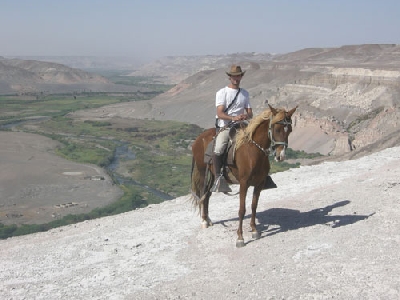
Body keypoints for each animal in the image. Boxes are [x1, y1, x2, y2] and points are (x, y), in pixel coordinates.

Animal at [191, 104, 296, 247]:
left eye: (289, 130)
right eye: (277, 129)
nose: (281, 156)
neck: (253, 151)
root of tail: (198, 139)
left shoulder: (259, 184)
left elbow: (253, 206)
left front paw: (254, 230)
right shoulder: (243, 184)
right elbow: (242, 209)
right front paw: (240, 238)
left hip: (212, 175)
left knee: (207, 195)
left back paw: (208, 219)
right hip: (203, 172)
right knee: (202, 194)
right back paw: (203, 221)